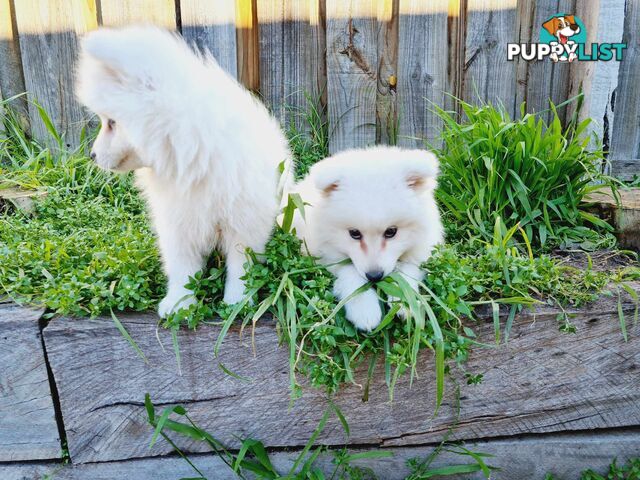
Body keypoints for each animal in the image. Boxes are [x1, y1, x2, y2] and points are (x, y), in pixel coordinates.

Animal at [75, 27, 292, 318]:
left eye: (111, 123)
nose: (93, 155)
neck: (192, 156)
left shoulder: (245, 221)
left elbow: (241, 267)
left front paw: (236, 303)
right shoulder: (176, 221)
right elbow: (181, 267)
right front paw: (179, 303)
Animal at [292, 146, 442, 332]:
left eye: (391, 231)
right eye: (354, 233)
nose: (374, 276)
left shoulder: (423, 249)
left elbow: (407, 269)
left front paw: (404, 300)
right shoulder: (326, 253)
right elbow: (350, 271)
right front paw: (364, 310)